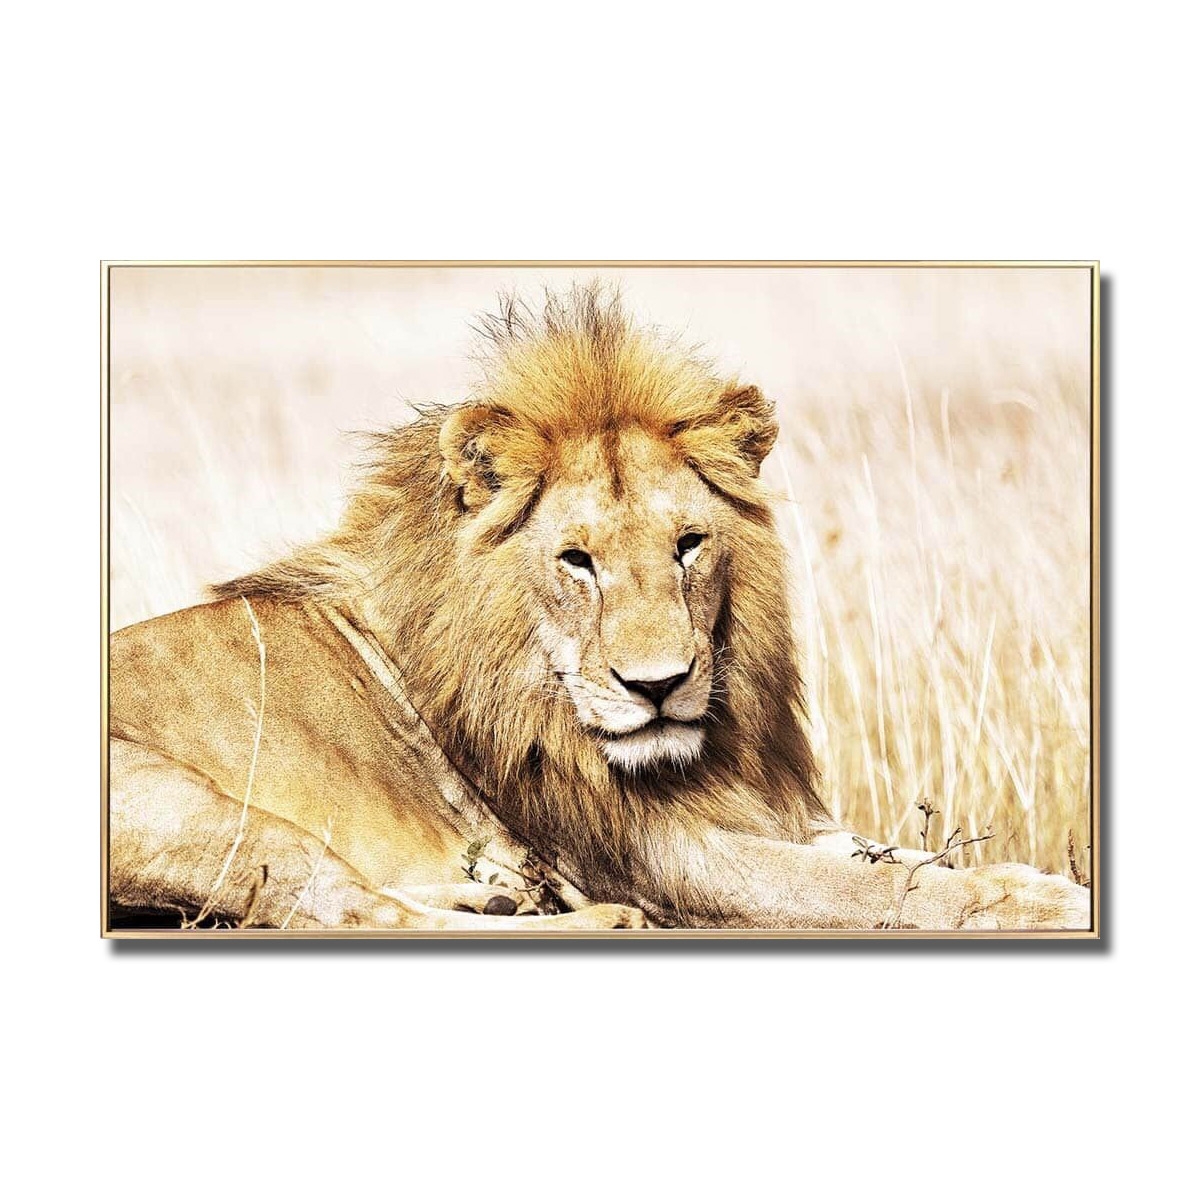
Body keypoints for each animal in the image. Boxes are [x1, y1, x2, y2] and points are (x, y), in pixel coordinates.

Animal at [107, 287, 1092, 932]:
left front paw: (1032, 880)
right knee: (342, 911)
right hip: (188, 806)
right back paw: (588, 917)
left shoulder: (754, 813)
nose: (658, 686)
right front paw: (1042, 901)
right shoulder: (664, 856)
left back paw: (497, 895)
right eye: (577, 562)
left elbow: (891, 856)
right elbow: (874, 888)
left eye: (688, 545)